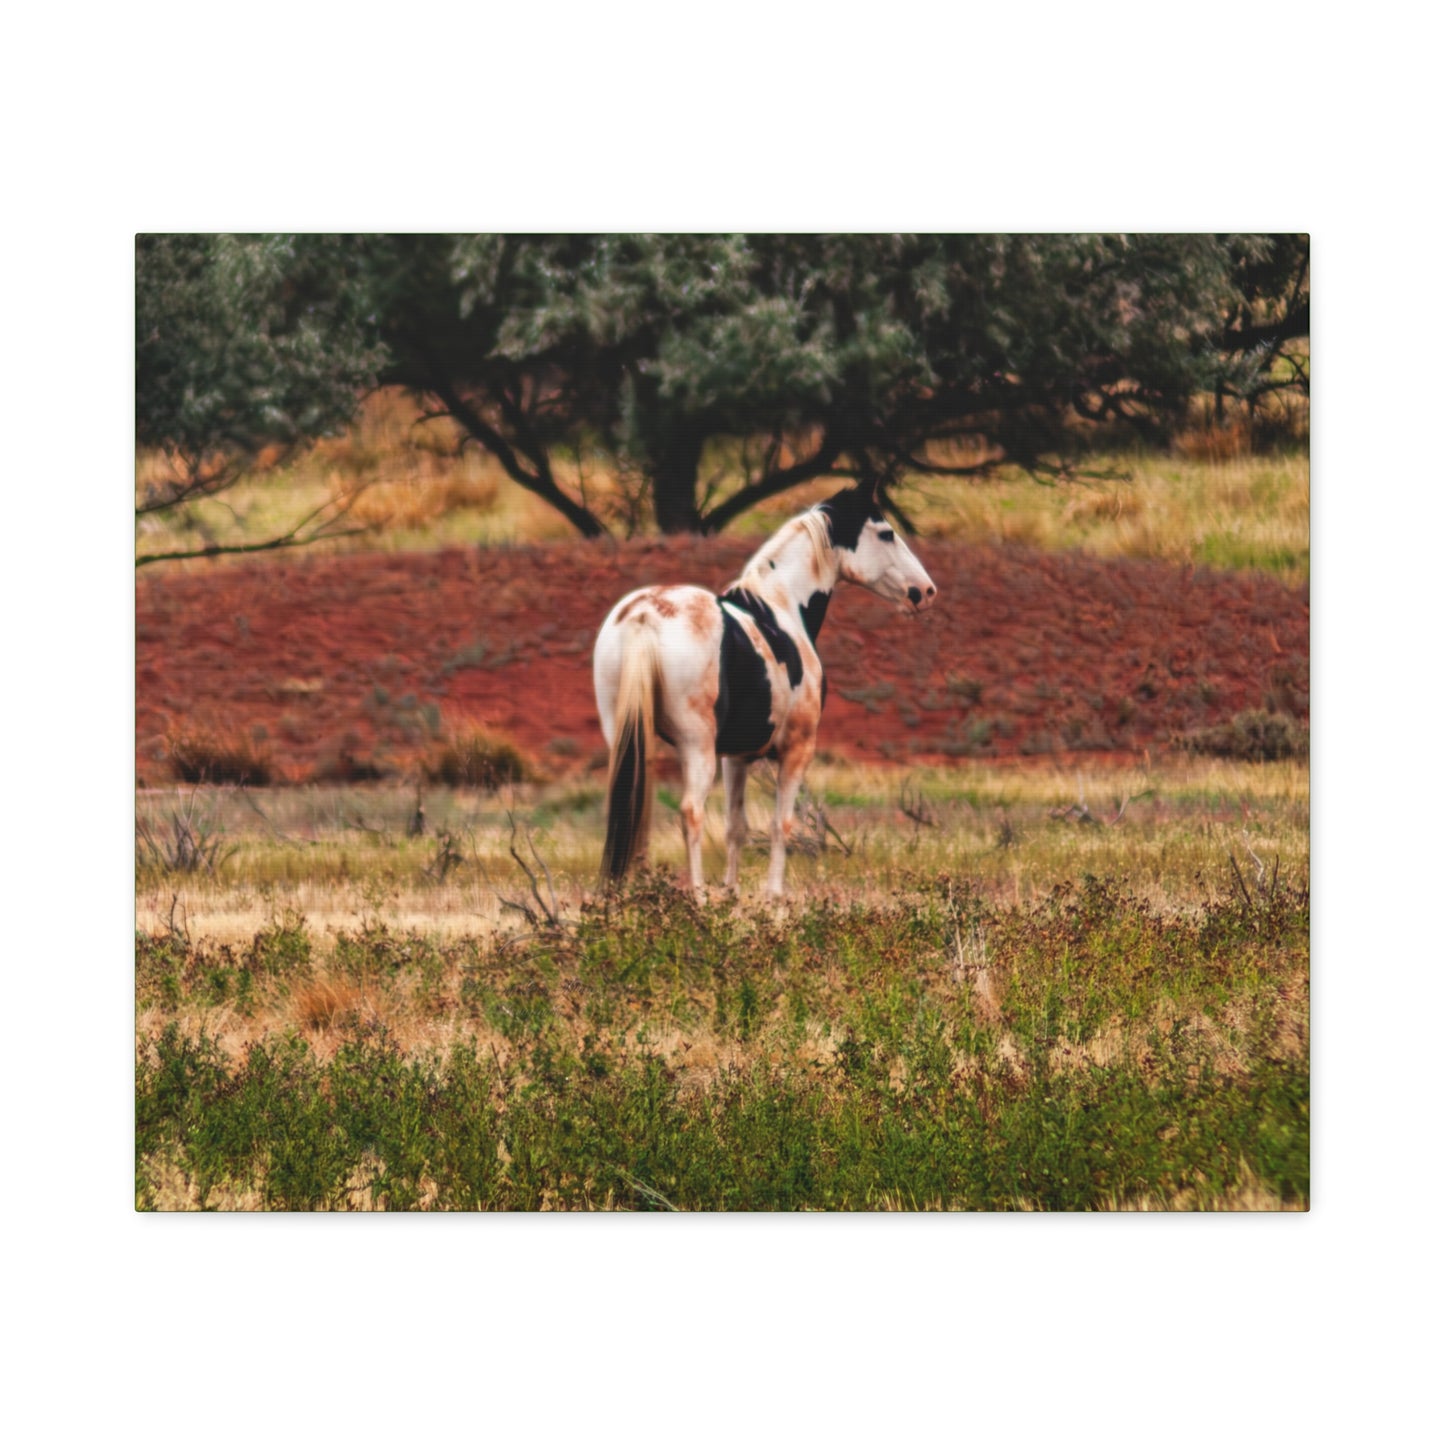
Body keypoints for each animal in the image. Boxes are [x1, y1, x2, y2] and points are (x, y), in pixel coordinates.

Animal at [592, 481, 937, 898]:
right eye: (886, 533)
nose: (925, 591)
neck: (779, 608)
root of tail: (645, 615)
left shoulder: (736, 757)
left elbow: (735, 827)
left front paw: (732, 893)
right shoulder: (796, 750)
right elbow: (781, 824)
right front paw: (773, 895)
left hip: (629, 736)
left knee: (632, 806)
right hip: (695, 745)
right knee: (691, 812)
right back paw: (698, 896)